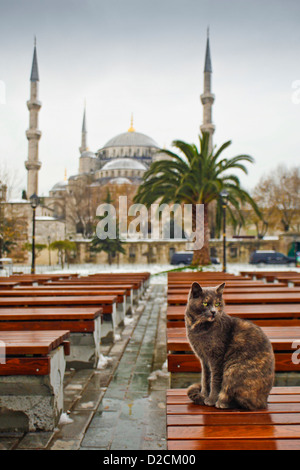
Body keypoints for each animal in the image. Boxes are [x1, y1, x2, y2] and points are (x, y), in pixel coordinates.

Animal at [186, 280, 276, 410]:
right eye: (205, 303)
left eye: (217, 303)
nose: (213, 311)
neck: (198, 328)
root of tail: (264, 402)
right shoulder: (204, 359)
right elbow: (205, 379)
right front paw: (203, 395)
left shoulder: (216, 358)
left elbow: (215, 380)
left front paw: (211, 399)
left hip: (232, 370)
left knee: (242, 402)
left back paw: (220, 402)